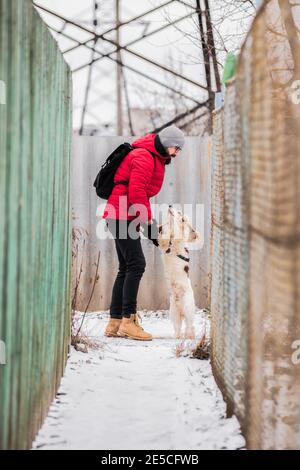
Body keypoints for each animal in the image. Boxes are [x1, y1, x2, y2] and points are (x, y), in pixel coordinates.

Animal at [157, 206, 202, 338]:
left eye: (179, 212)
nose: (170, 206)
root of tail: (181, 310)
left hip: (188, 309)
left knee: (189, 326)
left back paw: (189, 336)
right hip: (174, 313)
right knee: (178, 328)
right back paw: (178, 337)